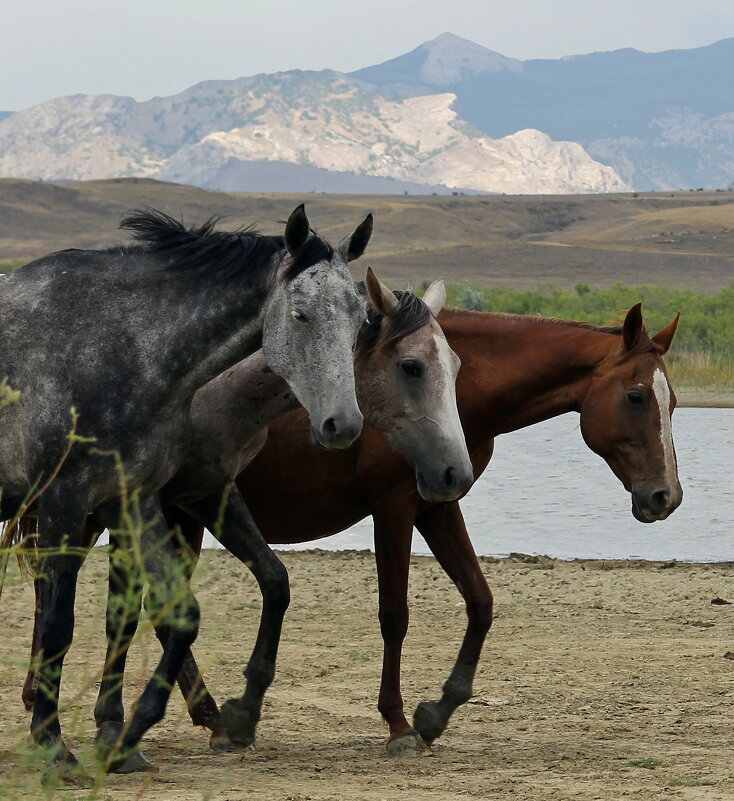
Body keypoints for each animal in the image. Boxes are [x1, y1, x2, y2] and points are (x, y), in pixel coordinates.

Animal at [21, 304, 684, 752]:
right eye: (634, 396)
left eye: (672, 401)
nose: (665, 496)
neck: (452, 390)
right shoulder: (394, 508)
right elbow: (395, 615)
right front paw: (398, 723)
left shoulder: (437, 505)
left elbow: (481, 602)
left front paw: (437, 711)